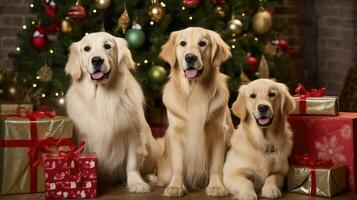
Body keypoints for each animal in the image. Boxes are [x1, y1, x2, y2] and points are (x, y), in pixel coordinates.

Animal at [64, 32, 162, 193]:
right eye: (87, 48)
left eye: (107, 46)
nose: (97, 60)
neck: (103, 96)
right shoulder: (82, 138)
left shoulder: (133, 133)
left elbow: (132, 162)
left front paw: (136, 183)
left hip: (152, 147)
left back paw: (149, 177)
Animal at [156, 27, 234, 197]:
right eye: (182, 43)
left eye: (203, 43)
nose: (190, 57)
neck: (194, 93)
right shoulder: (177, 132)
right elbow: (178, 166)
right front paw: (175, 187)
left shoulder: (218, 131)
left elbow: (216, 165)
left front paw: (217, 186)